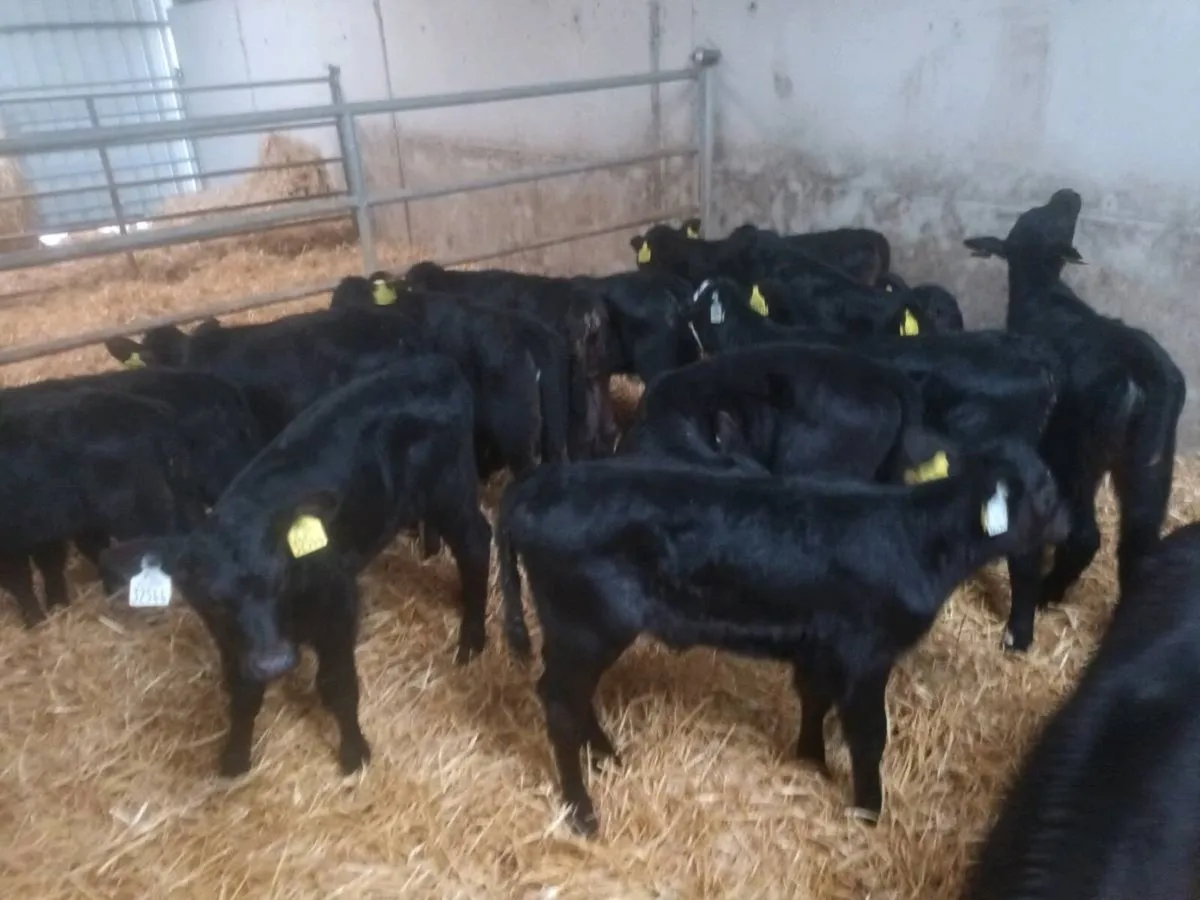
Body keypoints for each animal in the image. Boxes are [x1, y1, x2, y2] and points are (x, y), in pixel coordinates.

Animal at [98, 356, 492, 777]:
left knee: (476, 543)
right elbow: (242, 690)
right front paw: (235, 756)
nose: (275, 662)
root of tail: (431, 365)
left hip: (451, 490)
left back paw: (471, 639)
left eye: (279, 577)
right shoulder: (231, 639)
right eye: (214, 598)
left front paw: (354, 753)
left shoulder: (340, 606)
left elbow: (337, 685)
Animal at [496, 441, 1070, 836]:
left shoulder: (820, 644)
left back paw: (607, 756)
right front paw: (869, 810)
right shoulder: (866, 653)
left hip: (574, 631)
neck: (921, 539)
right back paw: (582, 810)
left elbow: (813, 699)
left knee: (573, 696)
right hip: (588, 625)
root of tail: (535, 484)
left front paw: (810, 759)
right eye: (1045, 490)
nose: (1068, 524)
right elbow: (869, 737)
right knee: (559, 702)